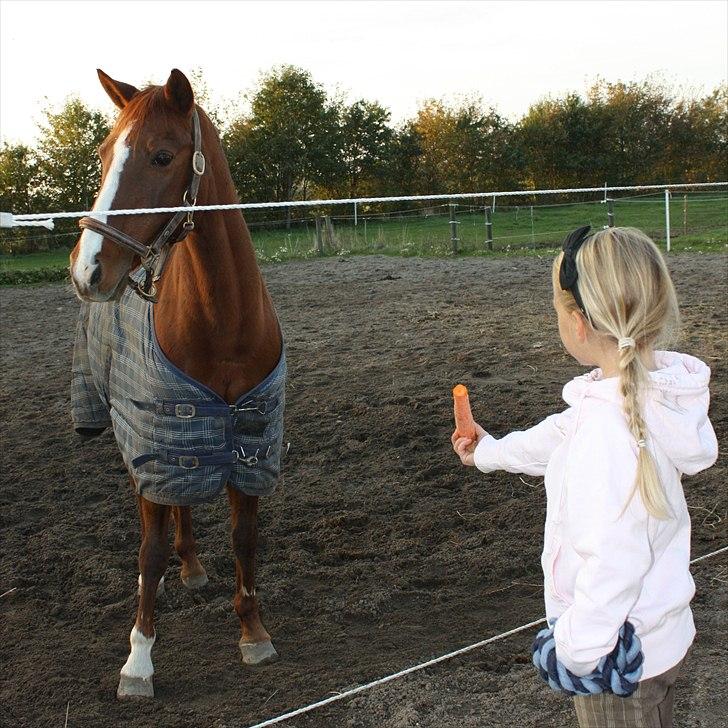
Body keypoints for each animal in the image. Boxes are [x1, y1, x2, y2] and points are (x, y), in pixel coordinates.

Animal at [69, 69, 284, 700]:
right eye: (103, 153)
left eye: (162, 156)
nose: (86, 270)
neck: (223, 325)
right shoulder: (154, 437)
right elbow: (149, 547)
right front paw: (139, 660)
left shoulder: (246, 436)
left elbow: (244, 537)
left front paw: (253, 632)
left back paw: (190, 567)